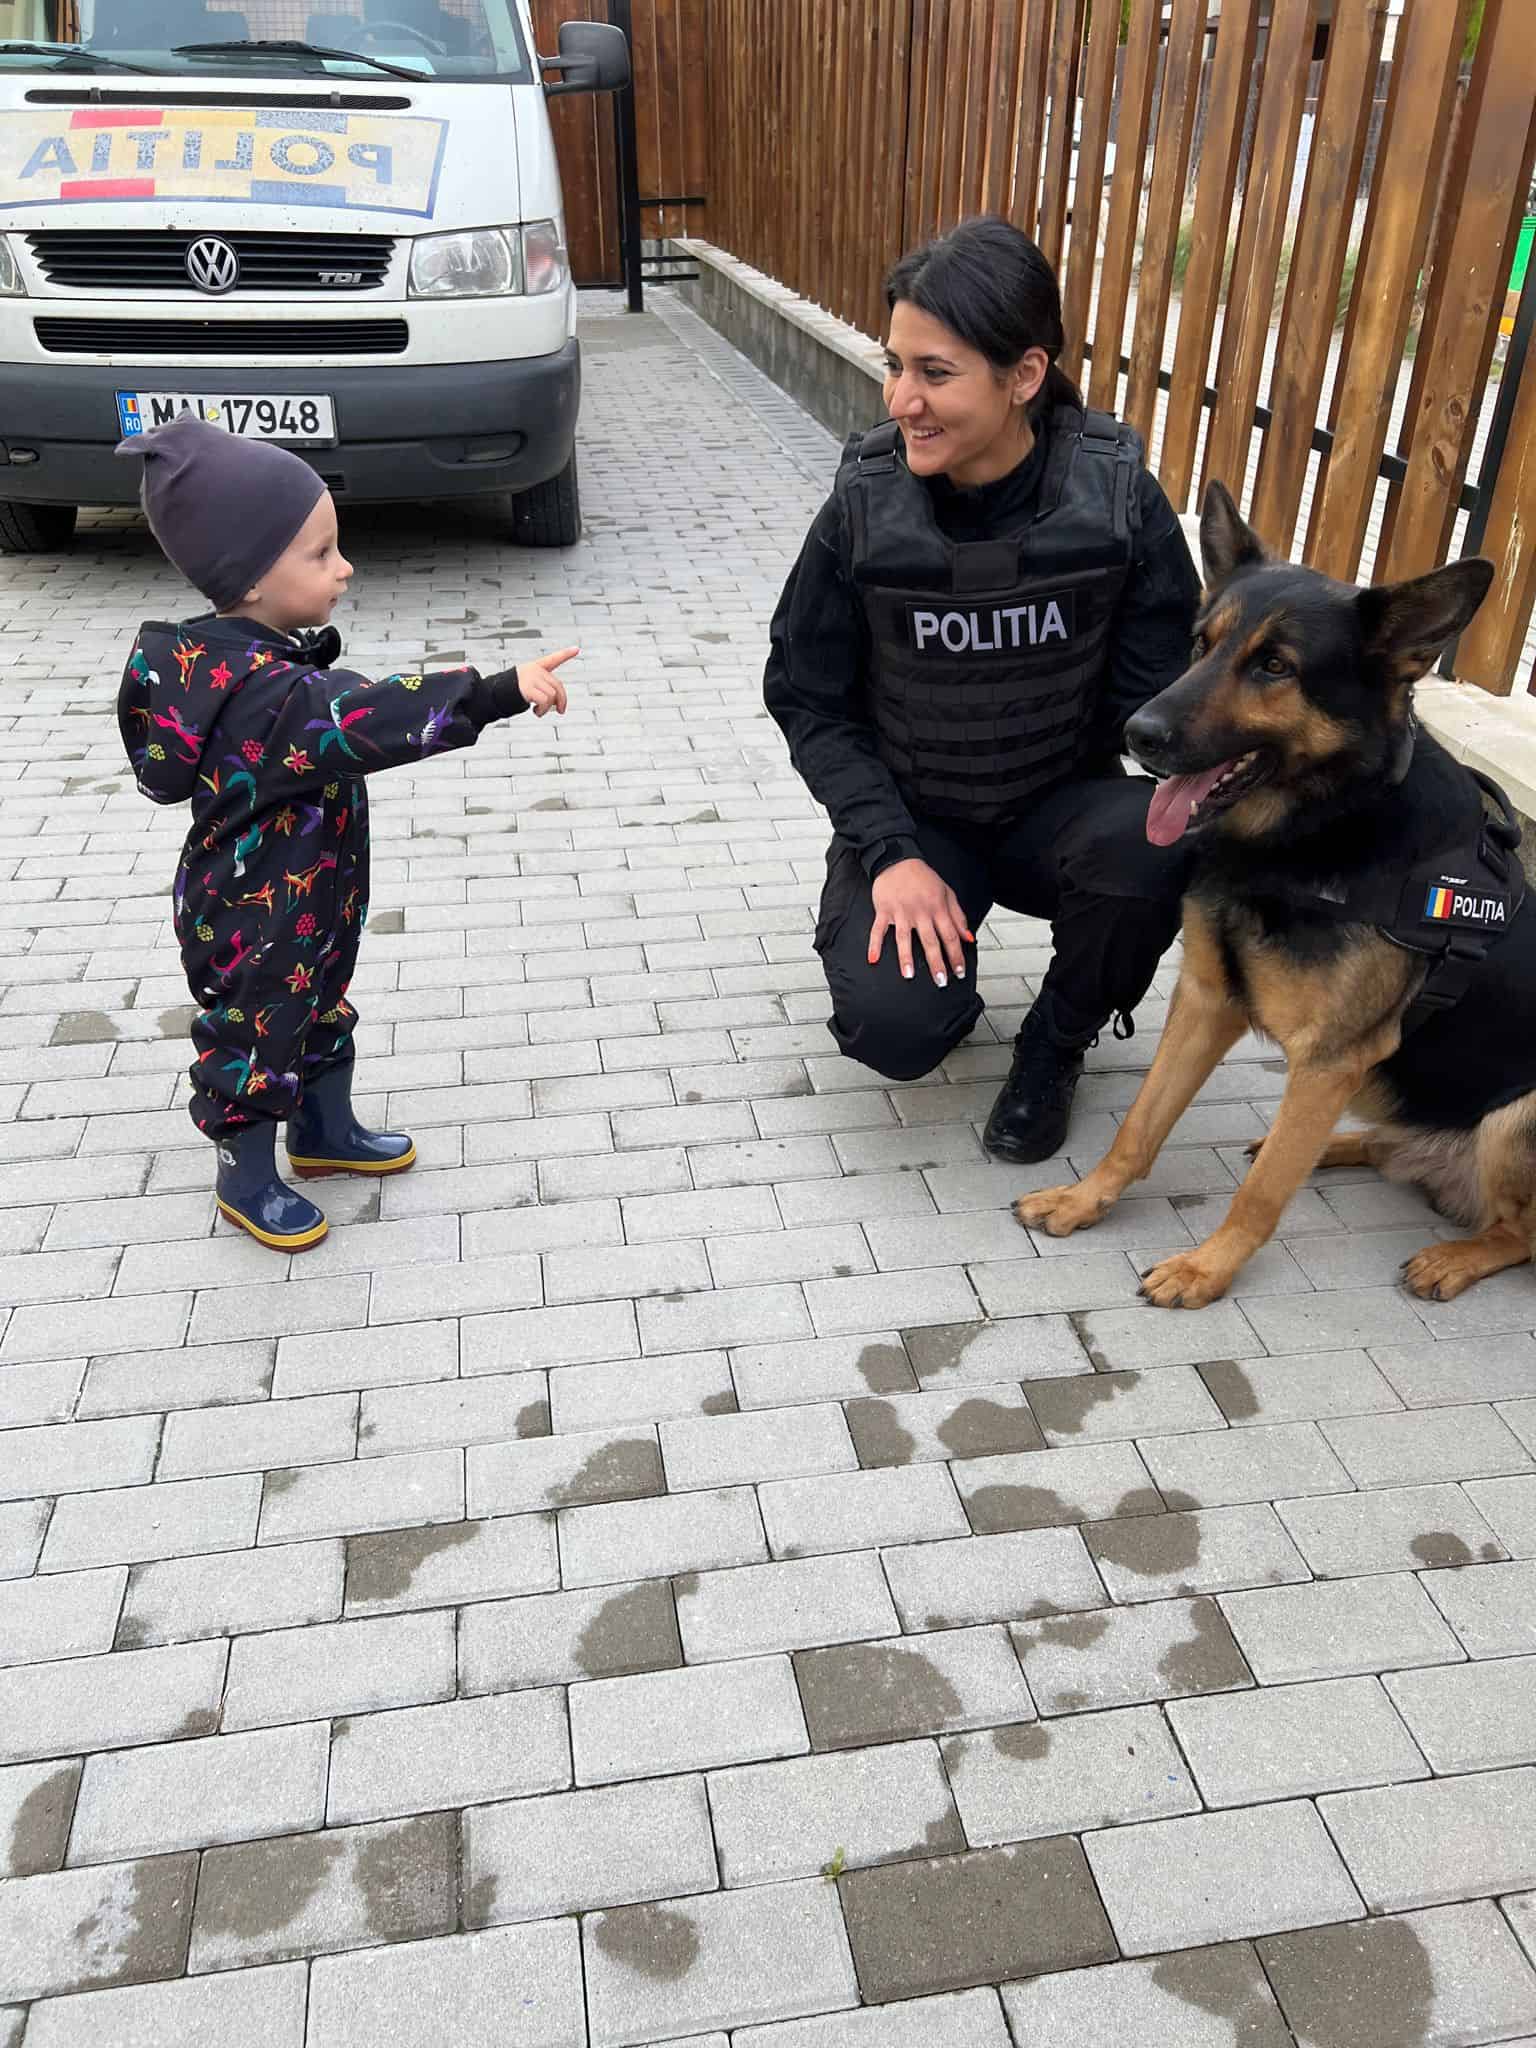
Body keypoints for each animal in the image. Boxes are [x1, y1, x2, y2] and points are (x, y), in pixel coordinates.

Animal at [1011, 483, 1536, 1294]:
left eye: (1275, 666)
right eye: (1201, 644)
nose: (1137, 733)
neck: (1317, 830)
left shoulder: (1328, 1062)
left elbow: (1258, 1200)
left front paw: (1205, 1270)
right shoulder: (1206, 999)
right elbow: (1140, 1125)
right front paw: (1083, 1200)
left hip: (1517, 1118)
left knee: (1519, 1234)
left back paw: (1454, 1257)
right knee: (1376, 1149)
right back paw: (1339, 1148)